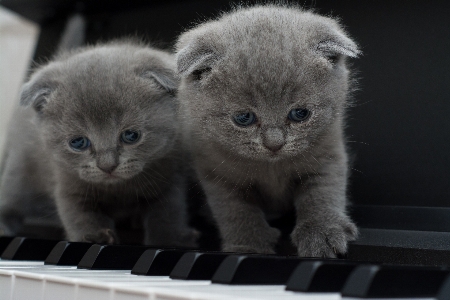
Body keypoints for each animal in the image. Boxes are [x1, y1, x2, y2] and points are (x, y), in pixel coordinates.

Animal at [0, 42, 197, 248]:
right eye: (78, 142)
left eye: (131, 135)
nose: (107, 165)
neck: (118, 189)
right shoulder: (67, 183)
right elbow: (79, 216)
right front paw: (96, 237)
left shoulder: (170, 175)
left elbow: (168, 213)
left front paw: (170, 239)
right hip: (21, 168)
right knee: (11, 198)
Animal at [175, 4, 358, 256]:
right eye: (244, 118)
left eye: (300, 113)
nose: (274, 143)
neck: (272, 168)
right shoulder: (215, 170)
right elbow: (235, 210)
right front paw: (248, 245)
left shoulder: (327, 152)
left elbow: (323, 192)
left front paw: (322, 232)